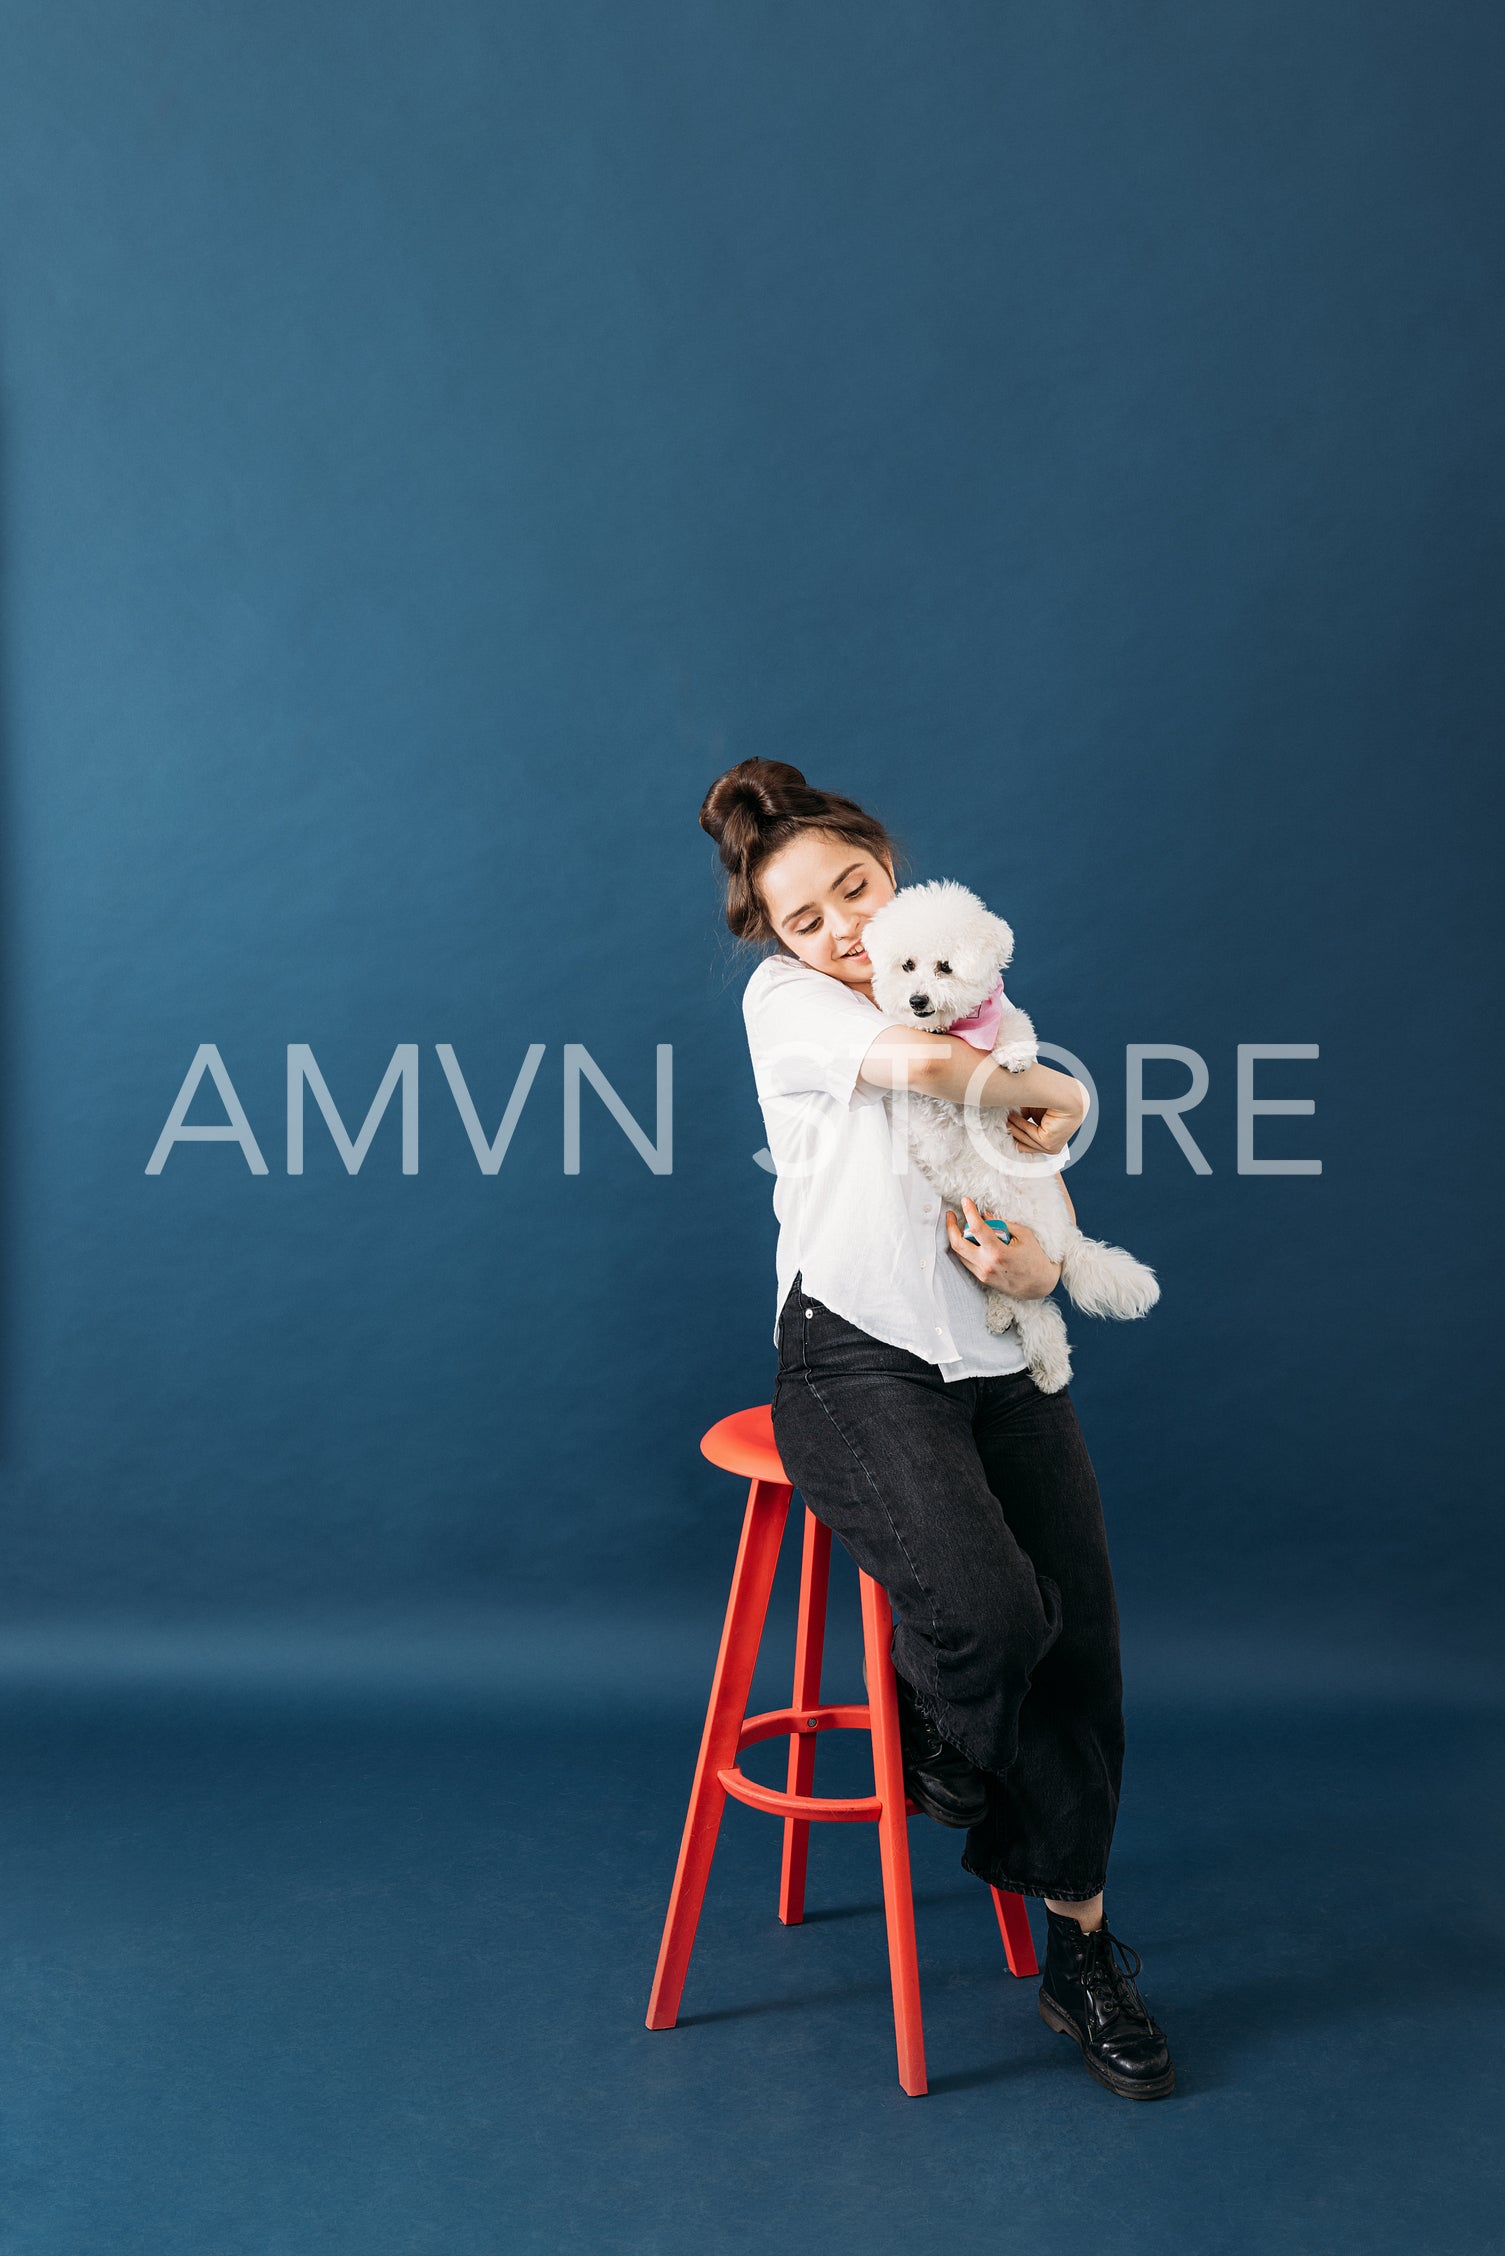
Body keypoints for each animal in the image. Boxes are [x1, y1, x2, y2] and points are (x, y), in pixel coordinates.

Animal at [857, 879, 1164, 1389]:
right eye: (907, 965)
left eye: (945, 966)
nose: (917, 1001)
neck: (953, 1032)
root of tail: (1067, 1239)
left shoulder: (1004, 1023)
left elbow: (1016, 1028)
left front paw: (1015, 1056)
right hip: (984, 1235)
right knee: (1013, 1299)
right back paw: (1000, 1316)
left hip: (1023, 1245)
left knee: (1040, 1315)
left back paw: (1051, 1370)